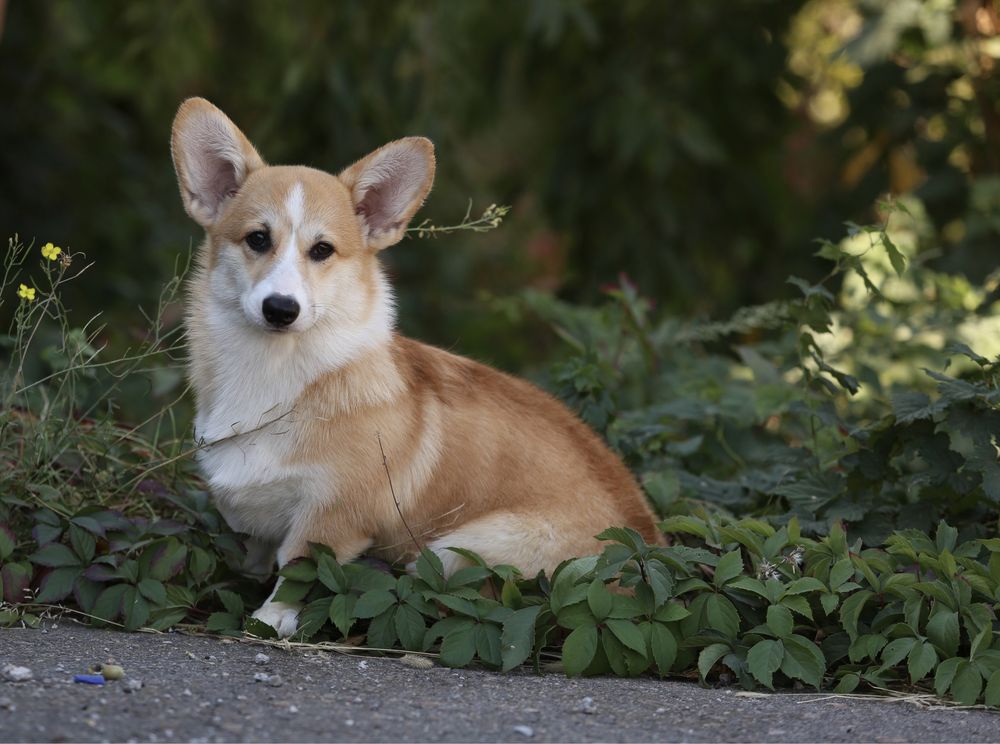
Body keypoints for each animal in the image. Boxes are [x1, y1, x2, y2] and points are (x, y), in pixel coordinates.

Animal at [170, 96, 664, 636]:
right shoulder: (250, 515)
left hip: (461, 546)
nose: (281, 309)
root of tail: (650, 551)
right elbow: (254, 555)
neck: (276, 373)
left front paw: (270, 619)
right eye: (258, 239)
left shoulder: (332, 517)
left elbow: (296, 568)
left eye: (322, 250)